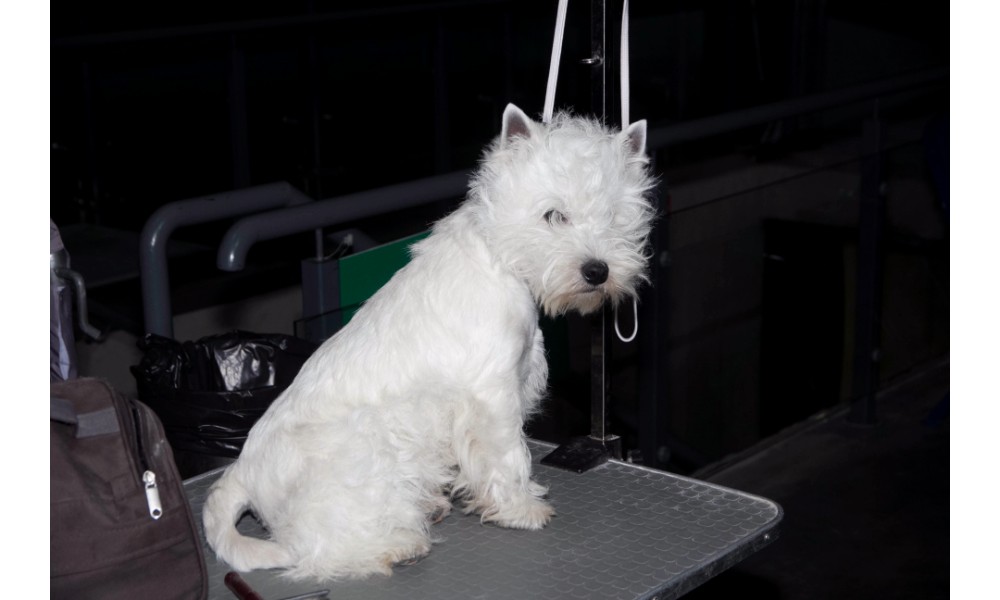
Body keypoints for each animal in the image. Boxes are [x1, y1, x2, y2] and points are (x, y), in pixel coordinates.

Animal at [202, 103, 656, 580]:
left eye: (614, 215)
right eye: (554, 215)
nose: (597, 271)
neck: (502, 257)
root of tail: (244, 472)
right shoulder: (492, 396)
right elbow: (507, 454)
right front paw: (521, 509)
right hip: (362, 455)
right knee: (313, 547)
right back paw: (398, 545)